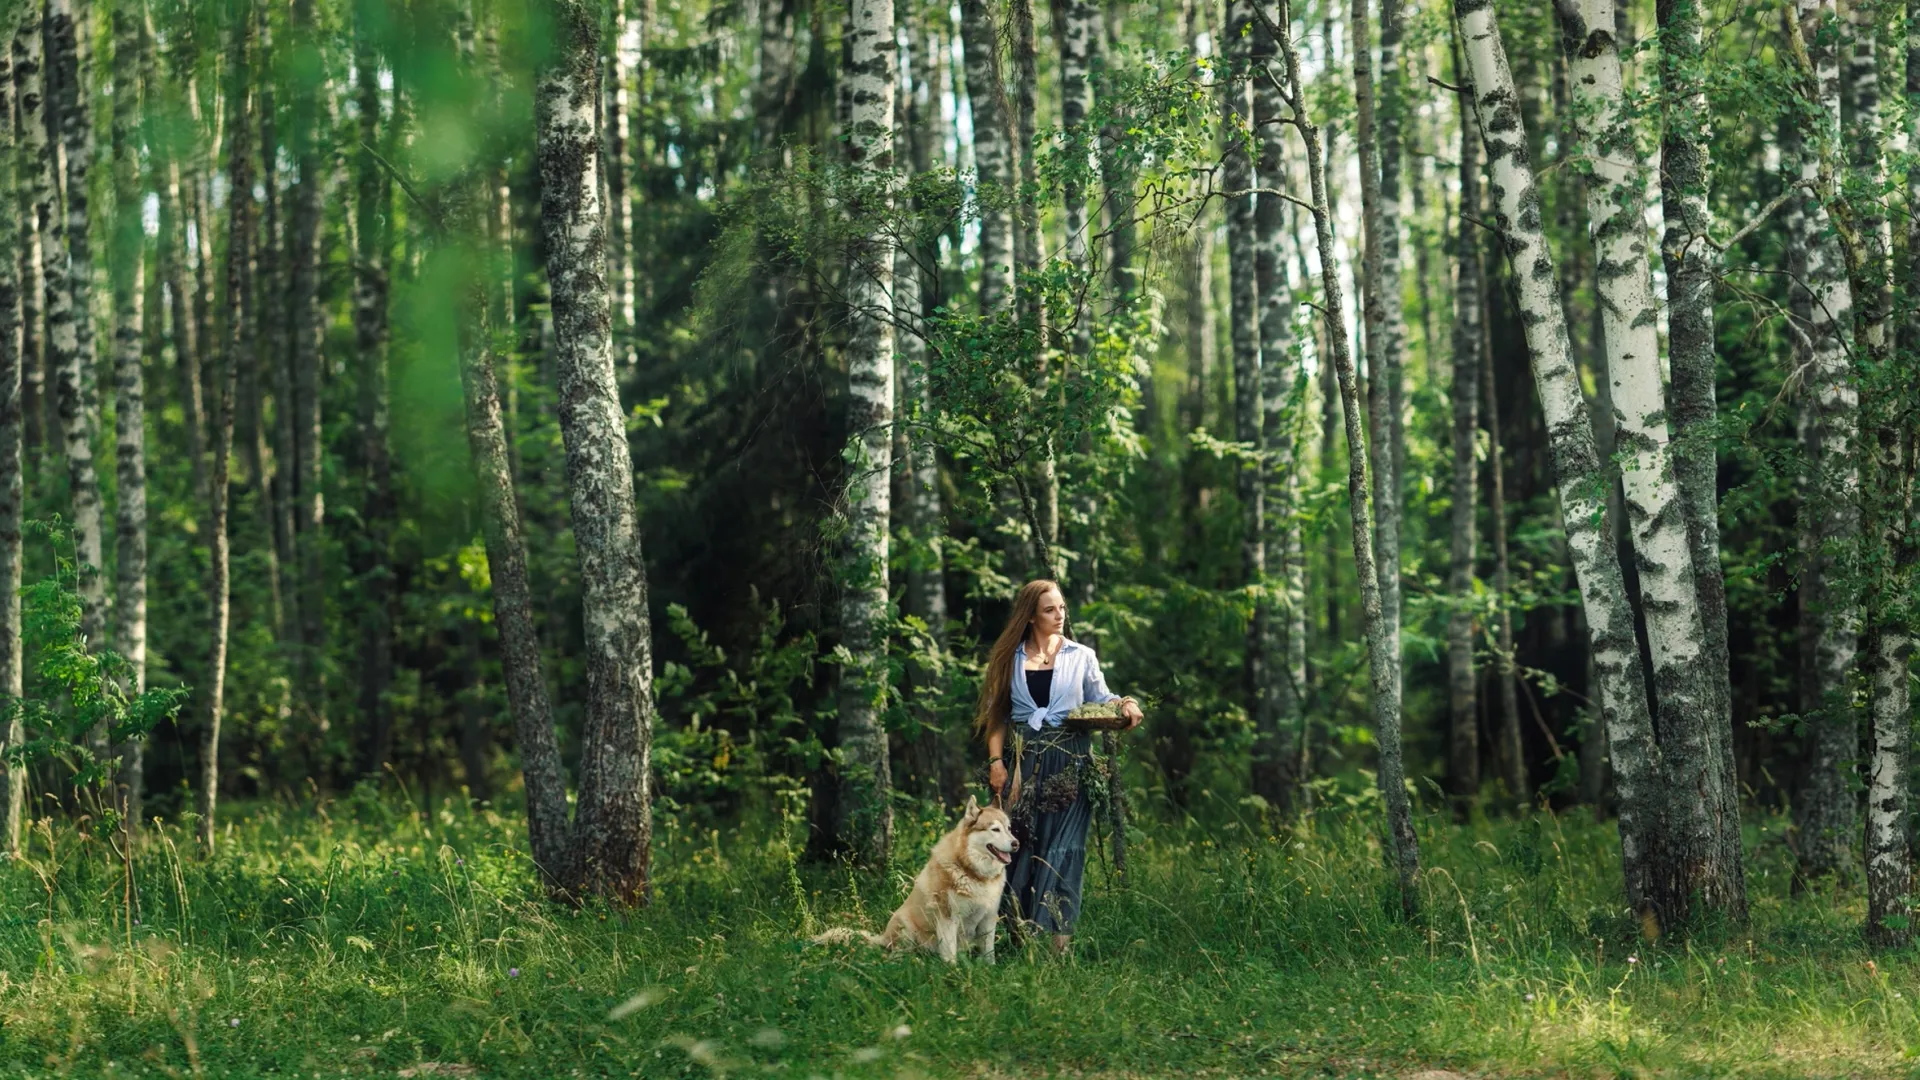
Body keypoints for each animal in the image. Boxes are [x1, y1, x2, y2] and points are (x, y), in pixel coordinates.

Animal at [810, 791, 1021, 957]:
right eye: (995, 829)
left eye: (1009, 828)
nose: (1016, 843)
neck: (974, 872)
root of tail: (883, 937)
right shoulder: (947, 918)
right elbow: (950, 955)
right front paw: (953, 974)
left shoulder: (988, 921)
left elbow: (989, 955)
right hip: (906, 926)